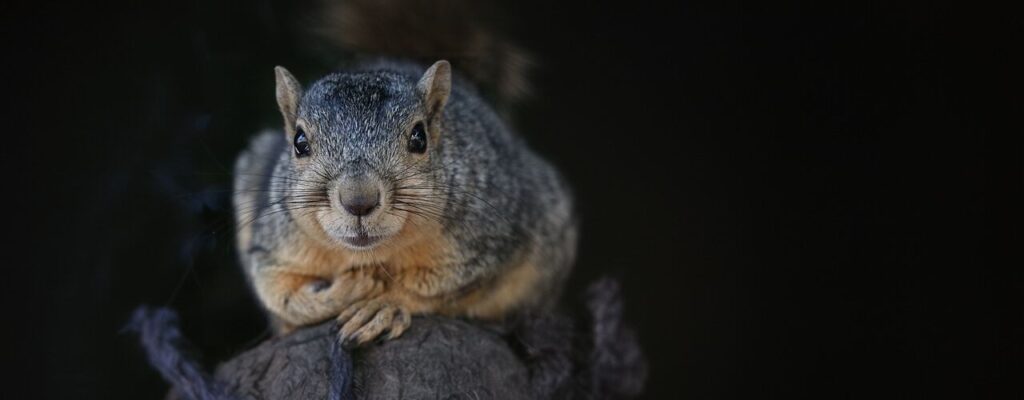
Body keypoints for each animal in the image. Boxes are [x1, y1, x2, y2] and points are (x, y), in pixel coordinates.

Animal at [232, 0, 577, 346]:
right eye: (299, 142)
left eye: (419, 137)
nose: (359, 201)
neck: (370, 256)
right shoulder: (276, 247)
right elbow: (280, 293)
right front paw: (340, 294)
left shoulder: (488, 245)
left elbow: (439, 290)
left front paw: (383, 305)